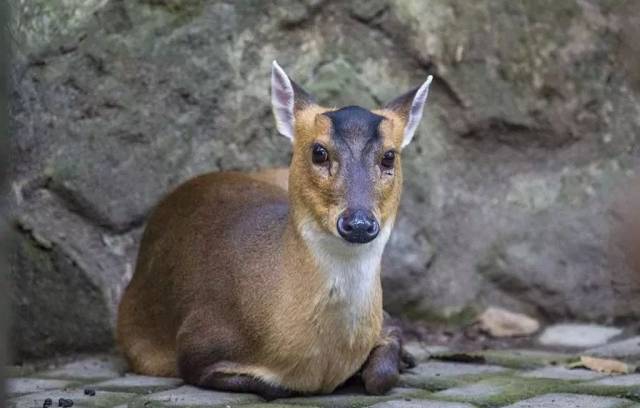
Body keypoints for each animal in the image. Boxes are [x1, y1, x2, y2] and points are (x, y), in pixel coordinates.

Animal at [117, 61, 432, 398]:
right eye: (318, 152)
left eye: (389, 156)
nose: (358, 222)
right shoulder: (196, 343)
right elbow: (276, 388)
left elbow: (380, 375)